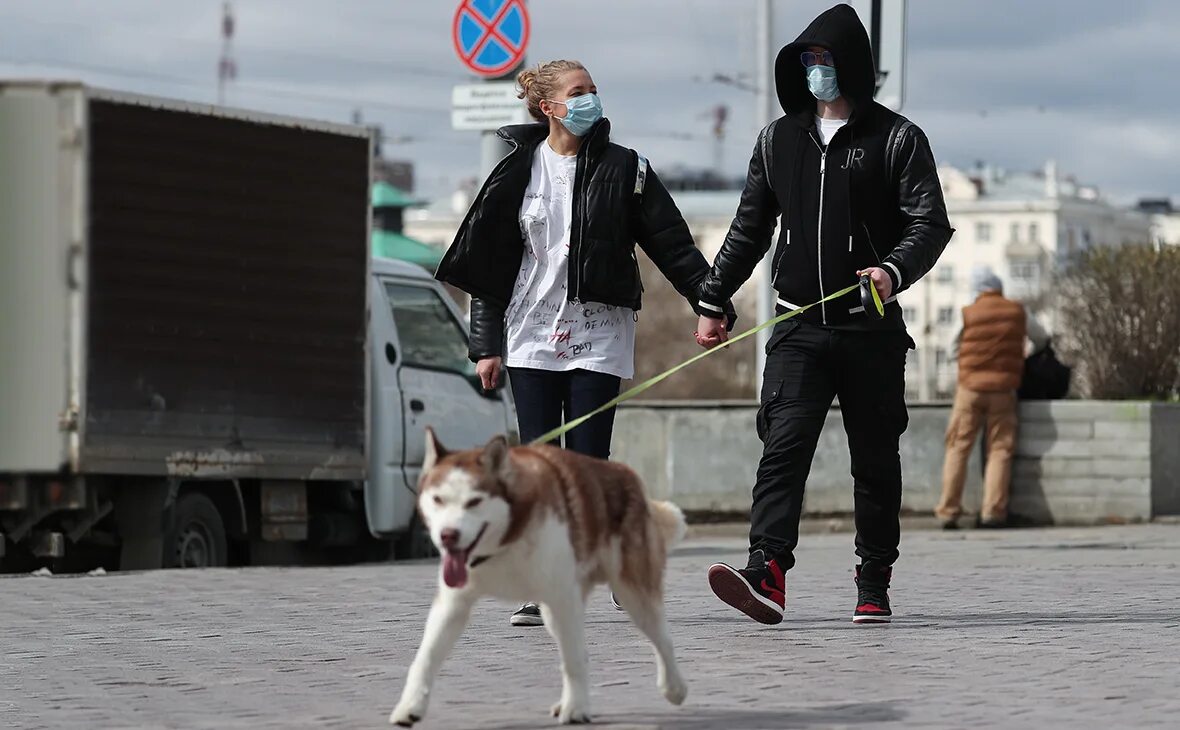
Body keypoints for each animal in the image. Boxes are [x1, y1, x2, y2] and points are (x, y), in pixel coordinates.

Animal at [391, 429, 689, 726]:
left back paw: (674, 687)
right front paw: (410, 706)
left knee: (661, 638)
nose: (448, 535)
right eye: (438, 499)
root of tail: (626, 473)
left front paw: (576, 708)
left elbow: (572, 661)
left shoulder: (562, 598)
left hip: (632, 593)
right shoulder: (454, 603)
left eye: (474, 501)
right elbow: (426, 657)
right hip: (556, 609)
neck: (505, 539)